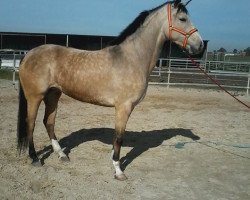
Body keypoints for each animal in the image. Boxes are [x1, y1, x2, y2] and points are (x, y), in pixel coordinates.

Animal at [18, 0, 204, 180]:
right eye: (182, 19)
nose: (200, 46)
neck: (133, 58)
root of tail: (28, 54)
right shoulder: (123, 107)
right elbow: (119, 138)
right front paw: (118, 170)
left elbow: (117, 138)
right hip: (35, 97)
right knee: (31, 124)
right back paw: (35, 158)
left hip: (53, 94)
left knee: (48, 122)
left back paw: (62, 155)